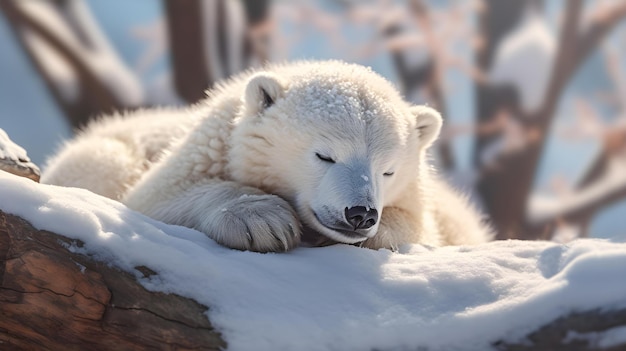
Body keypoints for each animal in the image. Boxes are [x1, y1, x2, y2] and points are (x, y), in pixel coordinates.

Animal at [42, 61, 492, 253]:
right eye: (324, 155)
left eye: (388, 171)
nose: (360, 214)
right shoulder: (203, 151)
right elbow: (155, 200)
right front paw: (263, 222)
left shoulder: (432, 211)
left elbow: (417, 227)